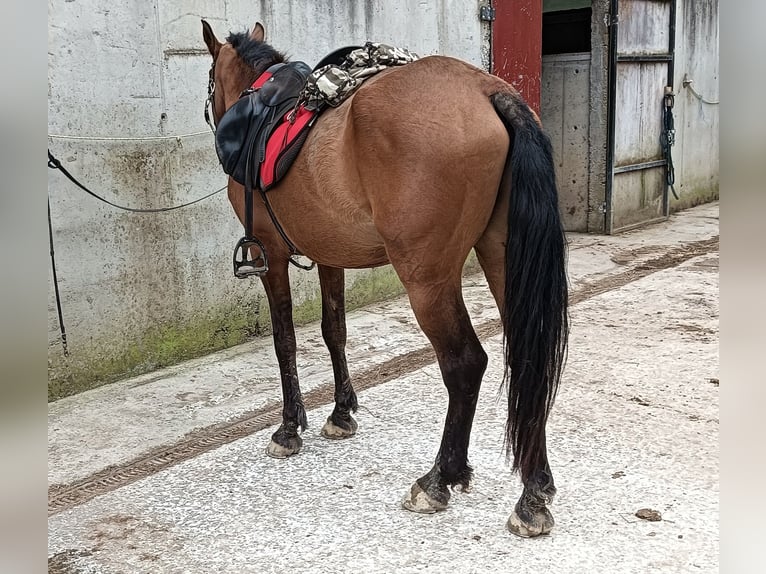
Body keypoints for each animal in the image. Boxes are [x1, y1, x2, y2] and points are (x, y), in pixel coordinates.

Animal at [201, 20, 569, 537]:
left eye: (211, 81)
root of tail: (488, 91)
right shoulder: (329, 256)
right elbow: (334, 331)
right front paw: (341, 414)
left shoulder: (269, 257)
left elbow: (284, 340)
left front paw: (289, 428)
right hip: (503, 261)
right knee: (528, 356)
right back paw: (534, 494)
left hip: (427, 280)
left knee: (464, 363)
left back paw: (438, 479)